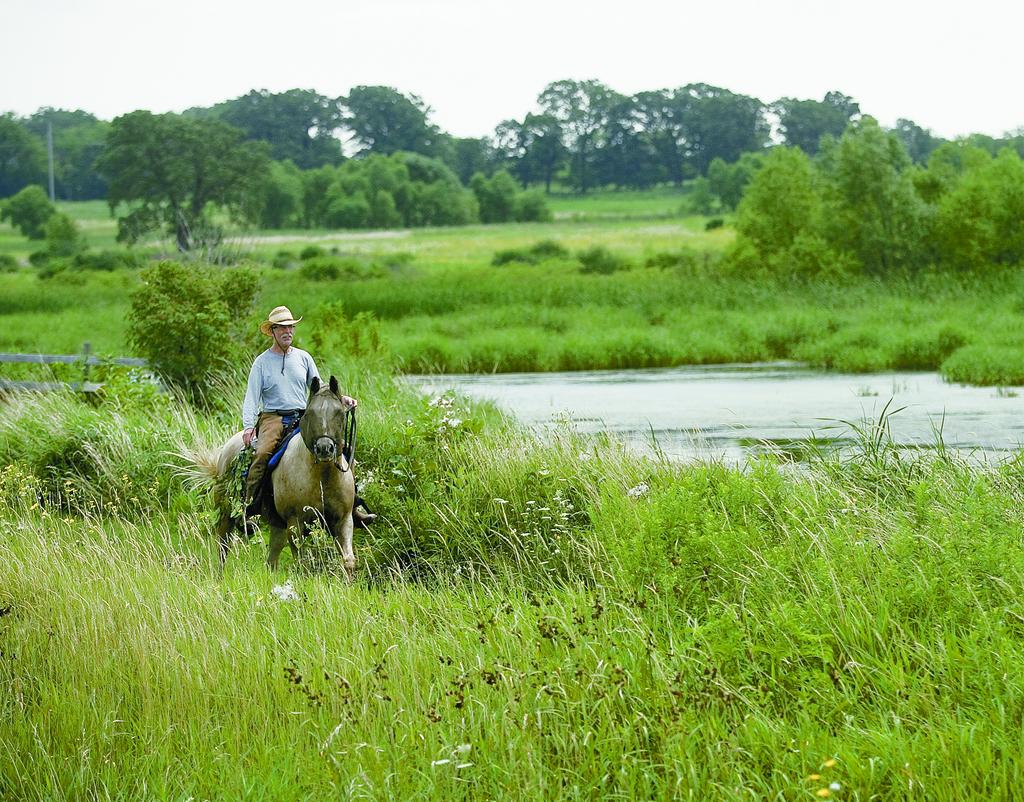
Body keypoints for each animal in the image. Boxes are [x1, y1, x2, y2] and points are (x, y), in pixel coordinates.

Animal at [191, 376, 356, 577]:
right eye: (309, 414)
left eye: (339, 413)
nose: (325, 449)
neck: (322, 477)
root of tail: (226, 450)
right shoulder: (295, 523)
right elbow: (303, 564)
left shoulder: (343, 520)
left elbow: (348, 561)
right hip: (226, 512)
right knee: (223, 547)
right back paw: (219, 577)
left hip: (277, 524)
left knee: (272, 558)